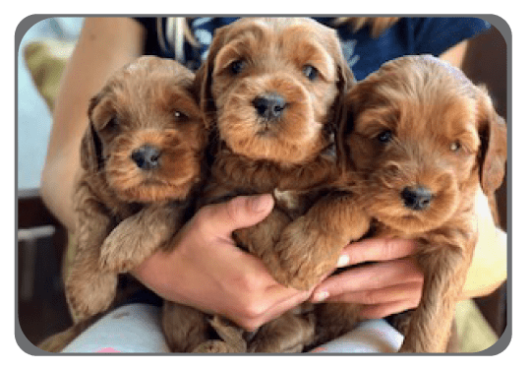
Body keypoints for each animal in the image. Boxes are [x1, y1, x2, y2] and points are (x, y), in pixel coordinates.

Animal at [65, 55, 207, 322]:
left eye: (179, 114)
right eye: (113, 122)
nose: (146, 155)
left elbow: (168, 205)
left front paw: (126, 242)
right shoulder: (87, 183)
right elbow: (93, 224)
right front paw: (89, 287)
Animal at [162, 18, 354, 354]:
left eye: (310, 71)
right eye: (236, 65)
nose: (270, 103)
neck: (274, 165)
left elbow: (339, 203)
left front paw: (304, 255)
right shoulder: (216, 195)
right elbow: (262, 214)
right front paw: (282, 259)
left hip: (294, 327)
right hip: (180, 307)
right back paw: (214, 346)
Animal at [278, 55, 508, 354]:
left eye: (456, 146)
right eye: (384, 135)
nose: (418, 196)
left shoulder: (455, 238)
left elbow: (434, 311)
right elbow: (345, 198)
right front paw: (304, 251)